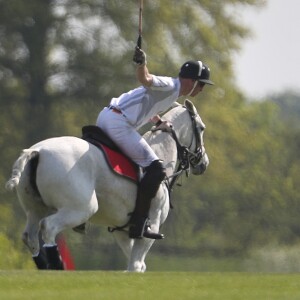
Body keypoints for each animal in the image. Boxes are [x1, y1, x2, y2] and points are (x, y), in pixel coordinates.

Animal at [6, 99, 209, 274]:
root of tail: (36, 151)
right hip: (81, 208)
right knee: (48, 227)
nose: (203, 163)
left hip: (35, 209)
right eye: (201, 128)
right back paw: (58, 269)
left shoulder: (122, 230)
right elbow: (135, 265)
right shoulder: (152, 225)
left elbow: (136, 265)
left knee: (30, 237)